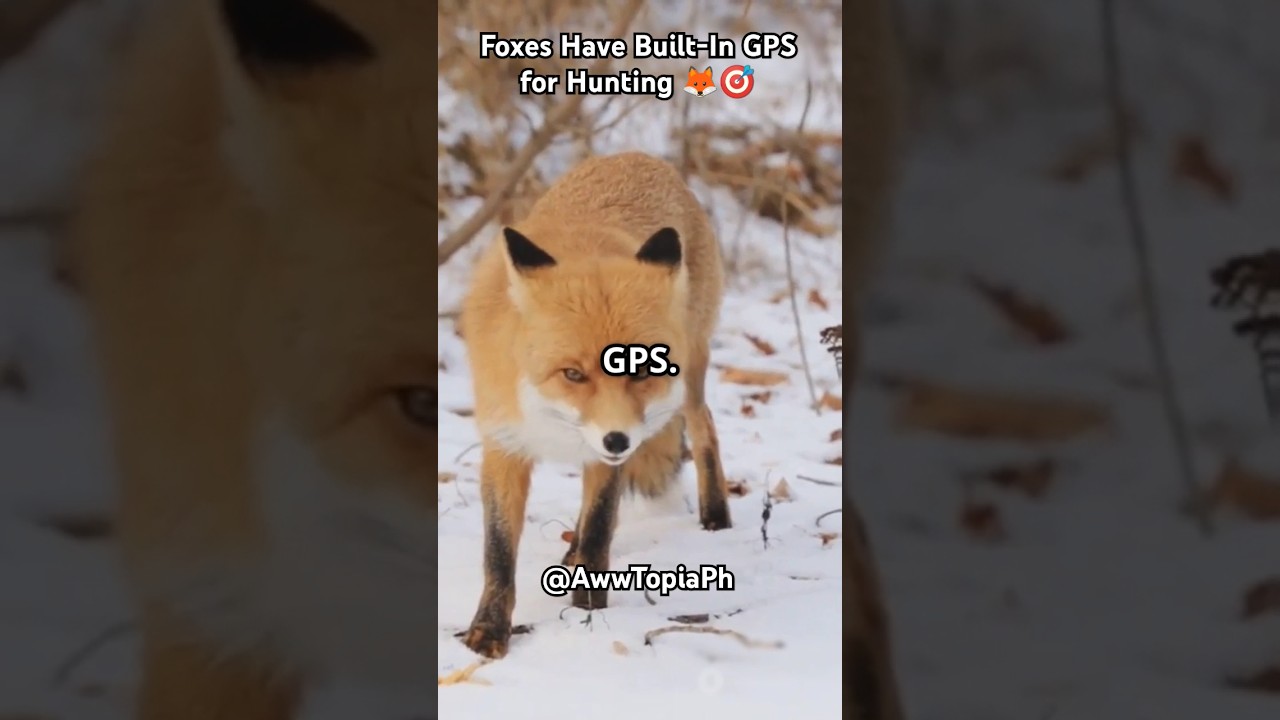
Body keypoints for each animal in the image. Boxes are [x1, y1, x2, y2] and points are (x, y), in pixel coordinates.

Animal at [457, 151, 732, 659]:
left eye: (642, 368)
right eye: (573, 374)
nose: (618, 439)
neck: (551, 419)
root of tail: (639, 156)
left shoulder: (611, 452)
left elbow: (602, 522)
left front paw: (590, 607)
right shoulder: (504, 443)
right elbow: (499, 552)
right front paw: (488, 630)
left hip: (689, 381)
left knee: (704, 425)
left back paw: (716, 515)